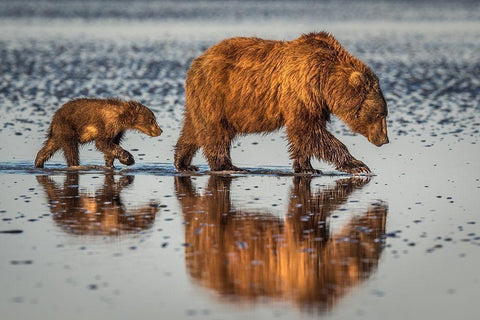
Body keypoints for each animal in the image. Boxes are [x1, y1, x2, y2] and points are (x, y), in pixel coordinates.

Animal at [174, 31, 388, 175]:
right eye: (380, 114)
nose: (384, 139)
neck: (325, 81)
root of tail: (197, 62)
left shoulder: (316, 103)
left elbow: (303, 136)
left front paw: (307, 167)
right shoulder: (302, 91)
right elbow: (308, 131)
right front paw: (359, 165)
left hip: (203, 99)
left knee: (193, 129)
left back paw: (183, 162)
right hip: (217, 94)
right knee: (215, 132)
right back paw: (227, 166)